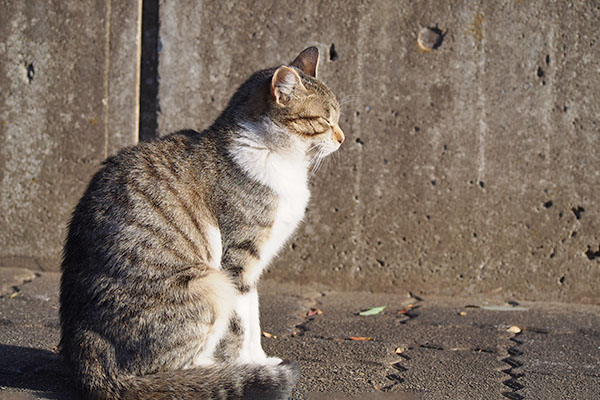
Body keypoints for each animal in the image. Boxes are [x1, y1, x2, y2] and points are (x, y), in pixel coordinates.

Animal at [59, 44, 346, 400]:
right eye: (323, 120)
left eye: (338, 118)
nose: (342, 137)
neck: (279, 160)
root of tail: (87, 355)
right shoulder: (237, 262)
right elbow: (241, 326)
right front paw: (246, 365)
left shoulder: (253, 269)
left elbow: (253, 318)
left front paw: (260, 359)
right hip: (210, 285)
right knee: (166, 371)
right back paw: (215, 374)